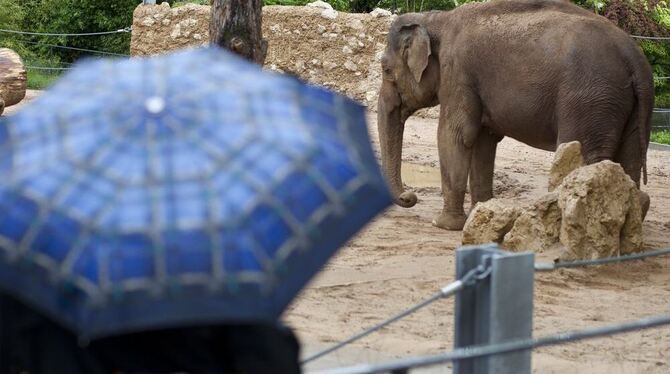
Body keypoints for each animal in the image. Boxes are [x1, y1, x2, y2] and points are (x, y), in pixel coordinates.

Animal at [378, 0, 656, 229]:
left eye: (385, 69)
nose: (409, 196)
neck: (436, 19)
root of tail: (634, 58)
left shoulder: (458, 73)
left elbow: (455, 135)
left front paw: (444, 225)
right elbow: (483, 141)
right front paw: (481, 214)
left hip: (589, 100)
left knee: (585, 155)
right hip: (627, 106)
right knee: (629, 159)